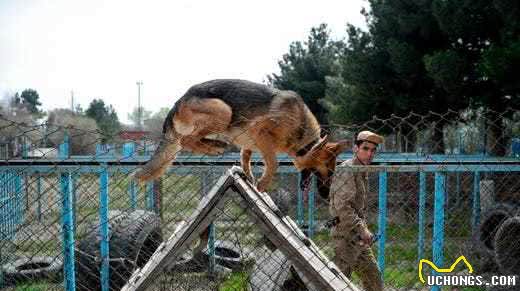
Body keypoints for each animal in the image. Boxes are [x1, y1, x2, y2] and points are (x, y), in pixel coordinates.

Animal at [134, 78, 348, 200]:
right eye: (328, 172)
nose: (326, 196)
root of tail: (178, 101)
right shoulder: (260, 132)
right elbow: (274, 162)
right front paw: (263, 183)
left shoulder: (250, 141)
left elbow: (246, 156)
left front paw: (249, 176)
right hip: (224, 111)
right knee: (187, 140)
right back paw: (214, 147)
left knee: (190, 140)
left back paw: (215, 144)